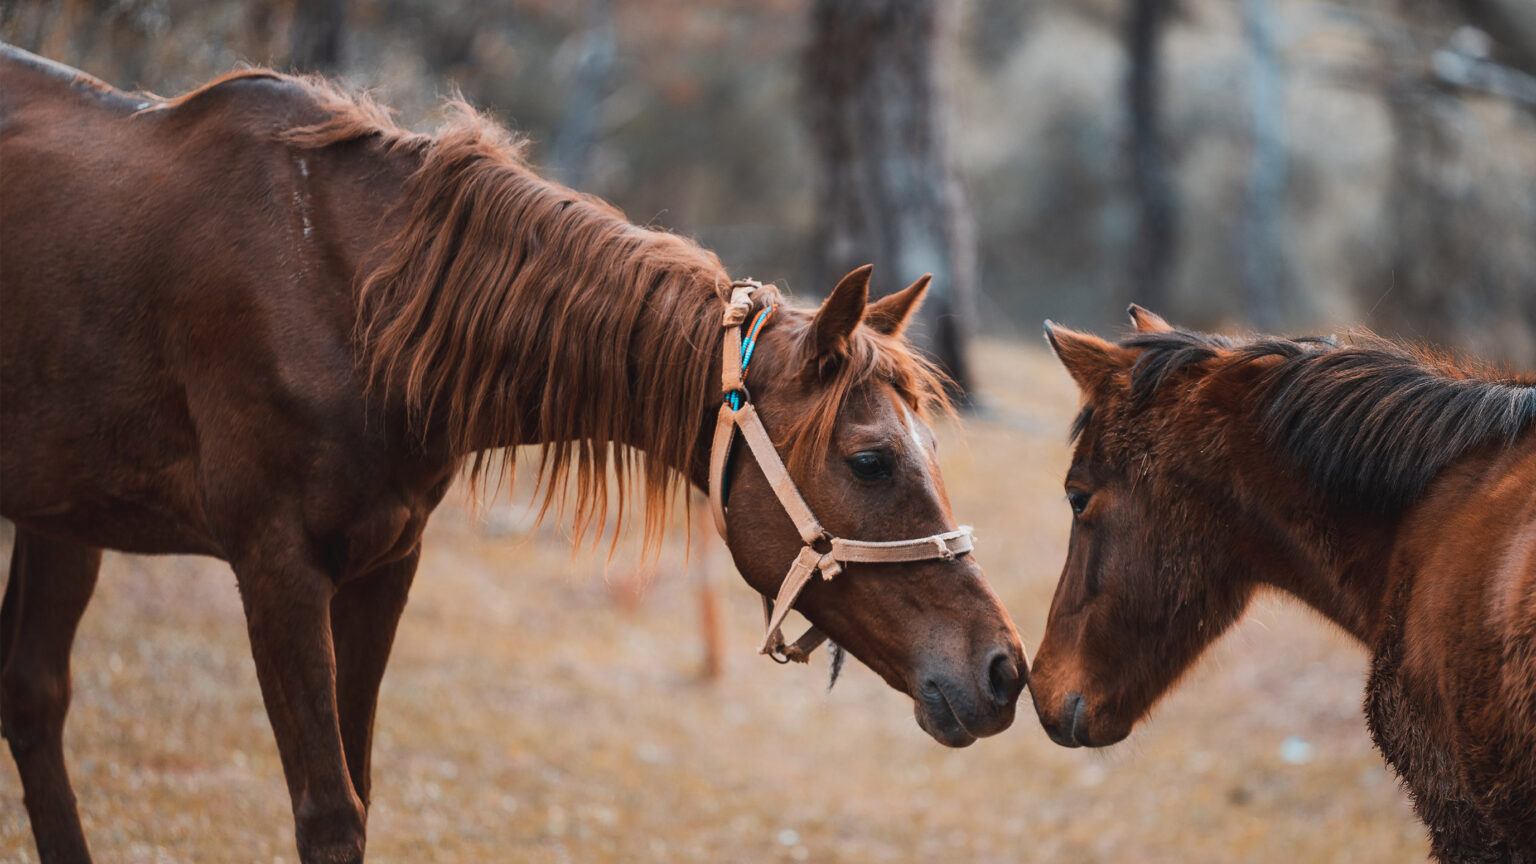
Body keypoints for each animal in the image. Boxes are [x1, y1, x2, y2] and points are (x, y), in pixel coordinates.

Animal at [0, 46, 1026, 864]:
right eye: (870, 461)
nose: (1003, 670)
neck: (349, 301)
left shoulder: (383, 567)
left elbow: (359, 786)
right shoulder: (278, 570)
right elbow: (329, 813)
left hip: (65, 518)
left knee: (33, 697)